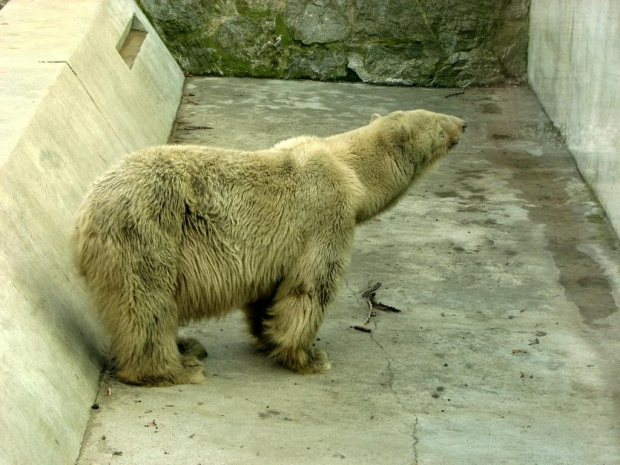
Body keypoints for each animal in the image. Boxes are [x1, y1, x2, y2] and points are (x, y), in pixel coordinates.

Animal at [72, 109, 464, 384]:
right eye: (438, 121)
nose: (464, 123)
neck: (347, 168)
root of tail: (83, 216)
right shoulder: (325, 216)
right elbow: (310, 287)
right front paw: (309, 358)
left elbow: (269, 292)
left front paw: (266, 336)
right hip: (146, 234)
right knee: (148, 306)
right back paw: (178, 367)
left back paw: (187, 345)